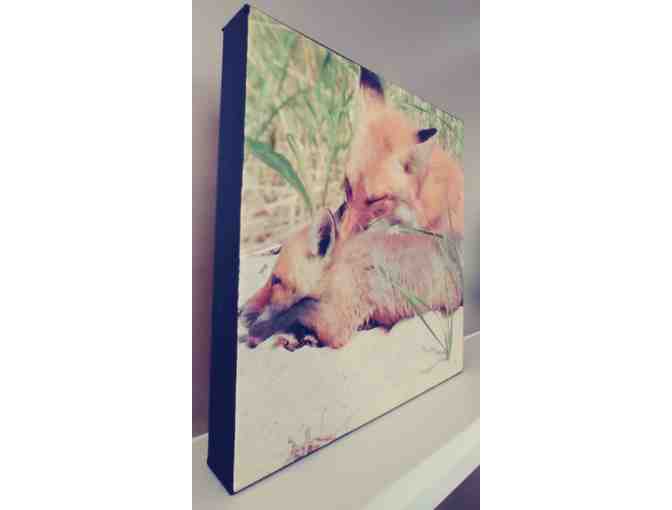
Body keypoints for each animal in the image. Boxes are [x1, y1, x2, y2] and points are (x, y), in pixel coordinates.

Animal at [238, 207, 462, 350]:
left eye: (276, 281)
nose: (240, 310)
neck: (341, 269)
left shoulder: (338, 323)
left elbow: (298, 308)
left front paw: (258, 331)